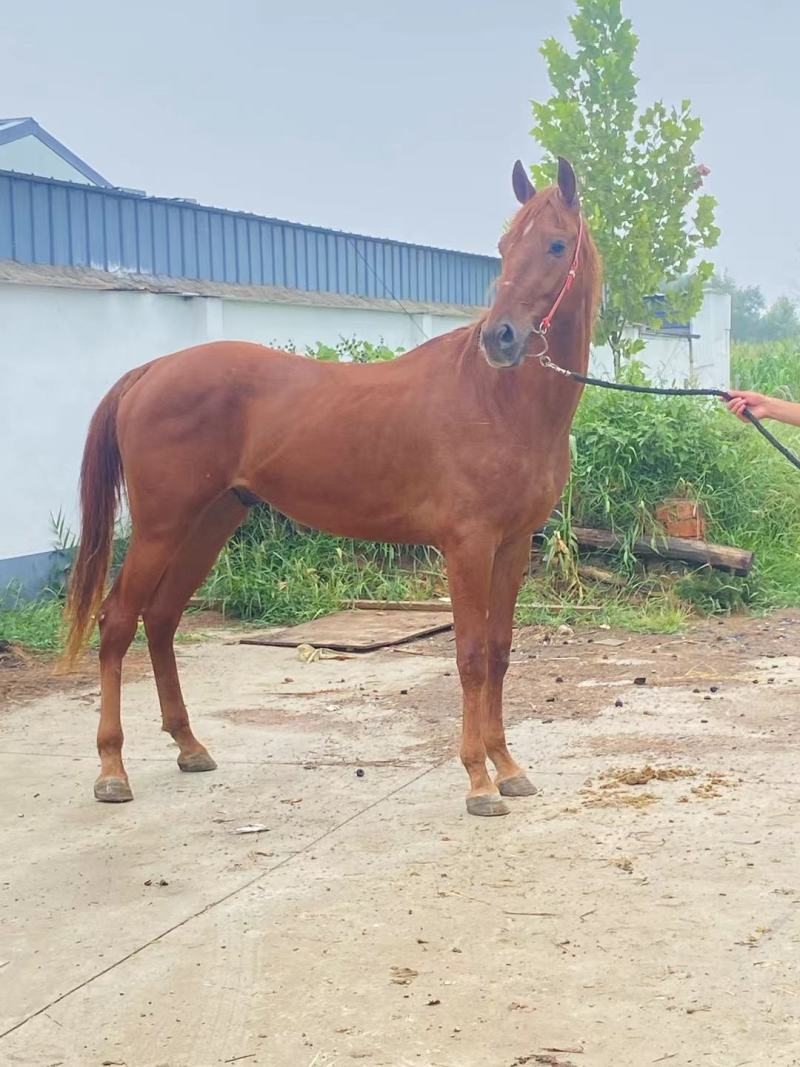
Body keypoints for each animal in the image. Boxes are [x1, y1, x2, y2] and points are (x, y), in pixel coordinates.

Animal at [64, 157, 600, 817]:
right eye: (503, 248)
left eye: (555, 245)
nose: (500, 338)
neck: (497, 401)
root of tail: (150, 371)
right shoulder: (468, 546)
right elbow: (471, 657)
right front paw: (479, 781)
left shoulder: (513, 545)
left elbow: (498, 654)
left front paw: (508, 767)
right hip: (162, 526)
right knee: (118, 622)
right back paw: (112, 770)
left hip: (210, 521)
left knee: (161, 620)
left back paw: (190, 747)